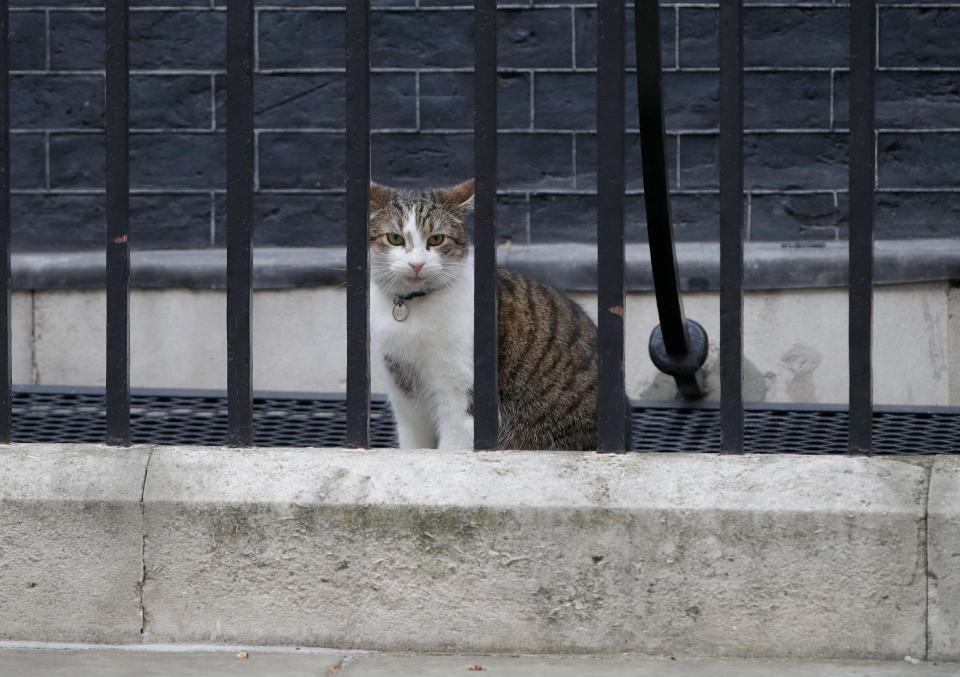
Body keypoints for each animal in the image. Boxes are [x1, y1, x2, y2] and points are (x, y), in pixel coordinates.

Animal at [370, 178, 600, 448]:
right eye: (395, 238)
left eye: (436, 239)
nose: (416, 264)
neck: (412, 308)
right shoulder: (405, 399)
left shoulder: (461, 395)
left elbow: (451, 447)